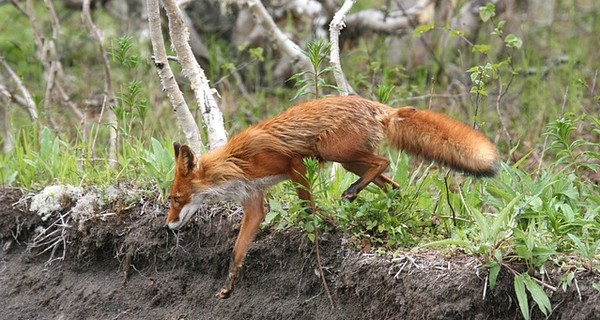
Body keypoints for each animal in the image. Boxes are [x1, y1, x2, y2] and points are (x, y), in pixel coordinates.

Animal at [165, 95, 496, 298]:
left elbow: (307, 206)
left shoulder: (293, 164)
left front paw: (328, 224)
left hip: (332, 151)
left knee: (382, 163)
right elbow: (237, 251)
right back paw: (390, 207)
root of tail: (378, 106)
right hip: (350, 161)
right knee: (391, 184)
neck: (236, 163)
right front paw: (229, 287)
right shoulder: (254, 203)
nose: (167, 226)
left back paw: (352, 193)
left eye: (175, 199)